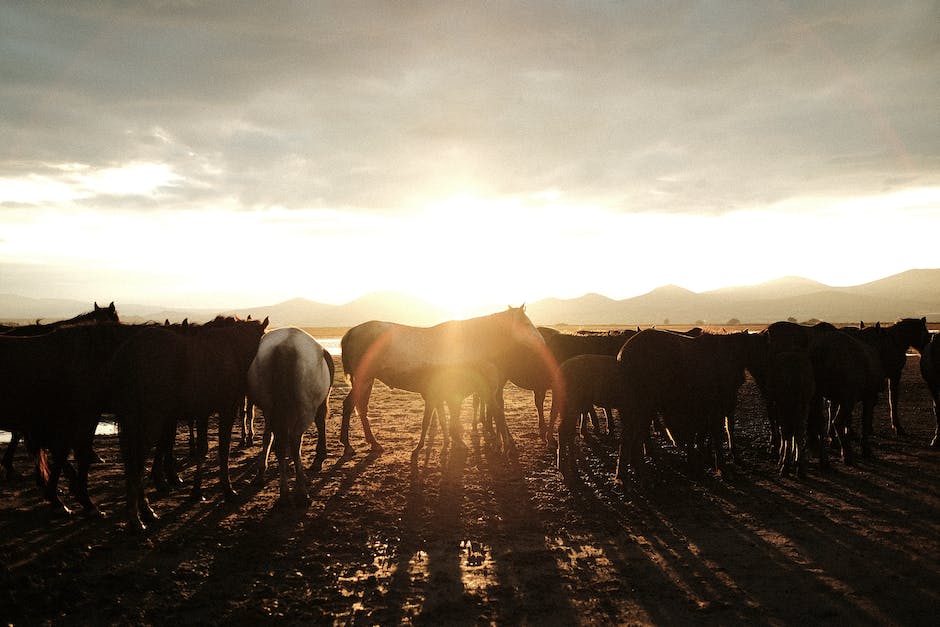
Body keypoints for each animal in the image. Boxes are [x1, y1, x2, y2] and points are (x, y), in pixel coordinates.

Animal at [114, 316, 270, 532]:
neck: (229, 350)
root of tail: (130, 350)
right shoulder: (226, 410)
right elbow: (223, 449)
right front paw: (228, 489)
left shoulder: (202, 414)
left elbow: (203, 449)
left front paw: (196, 491)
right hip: (151, 420)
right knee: (137, 461)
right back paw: (136, 517)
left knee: (135, 461)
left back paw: (145, 511)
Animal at [248, 326, 336, 508]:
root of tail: (286, 345)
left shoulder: (270, 411)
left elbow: (268, 437)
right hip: (305, 410)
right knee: (296, 442)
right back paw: (301, 491)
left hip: (272, 408)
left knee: (282, 443)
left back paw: (284, 494)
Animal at [342, 306, 552, 454]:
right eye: (526, 323)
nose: (542, 342)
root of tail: (352, 332)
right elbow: (452, 416)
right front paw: (456, 441)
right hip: (365, 379)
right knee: (354, 405)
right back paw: (357, 444)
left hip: (365, 380)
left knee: (356, 406)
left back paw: (363, 443)